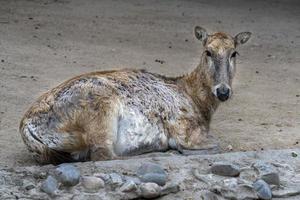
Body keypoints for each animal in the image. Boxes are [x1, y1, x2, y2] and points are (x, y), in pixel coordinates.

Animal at [19, 26, 251, 164]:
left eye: (234, 53)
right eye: (208, 52)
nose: (223, 91)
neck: (197, 101)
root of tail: (27, 127)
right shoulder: (184, 130)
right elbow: (218, 145)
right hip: (101, 111)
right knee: (103, 155)